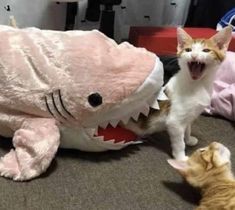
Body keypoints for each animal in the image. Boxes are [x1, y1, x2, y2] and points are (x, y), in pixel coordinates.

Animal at [124, 26, 232, 161]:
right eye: (188, 50)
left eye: (206, 50)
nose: (194, 55)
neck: (197, 85)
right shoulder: (174, 121)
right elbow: (179, 142)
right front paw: (181, 158)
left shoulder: (189, 115)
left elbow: (187, 128)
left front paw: (189, 139)